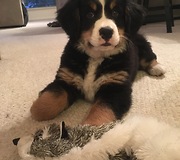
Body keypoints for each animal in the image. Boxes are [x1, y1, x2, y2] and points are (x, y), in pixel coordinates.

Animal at [30, 0, 165, 125]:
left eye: (115, 13)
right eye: (90, 14)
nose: (106, 32)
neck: (96, 57)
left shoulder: (115, 87)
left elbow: (101, 112)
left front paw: (88, 130)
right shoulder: (66, 78)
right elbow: (42, 107)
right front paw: (37, 107)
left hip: (142, 44)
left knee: (150, 56)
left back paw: (157, 67)